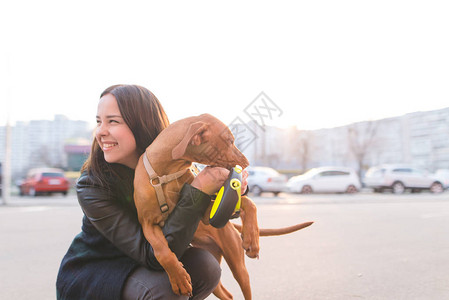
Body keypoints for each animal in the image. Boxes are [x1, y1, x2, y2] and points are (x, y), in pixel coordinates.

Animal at [131, 113, 310, 298]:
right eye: (230, 140)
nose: (247, 163)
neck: (165, 174)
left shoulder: (203, 209)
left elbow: (249, 202)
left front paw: (252, 237)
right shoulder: (148, 224)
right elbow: (161, 251)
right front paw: (178, 278)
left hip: (238, 266)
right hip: (213, 266)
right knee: (226, 293)